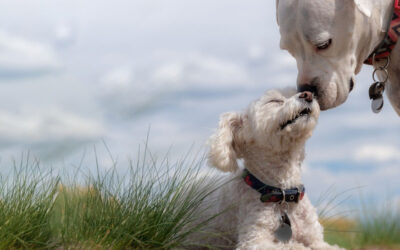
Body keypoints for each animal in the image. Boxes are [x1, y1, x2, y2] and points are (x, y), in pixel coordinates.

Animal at [205, 89, 342, 249]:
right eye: (274, 101)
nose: (308, 94)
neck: (283, 195)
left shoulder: (316, 239)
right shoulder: (253, 240)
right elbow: (292, 245)